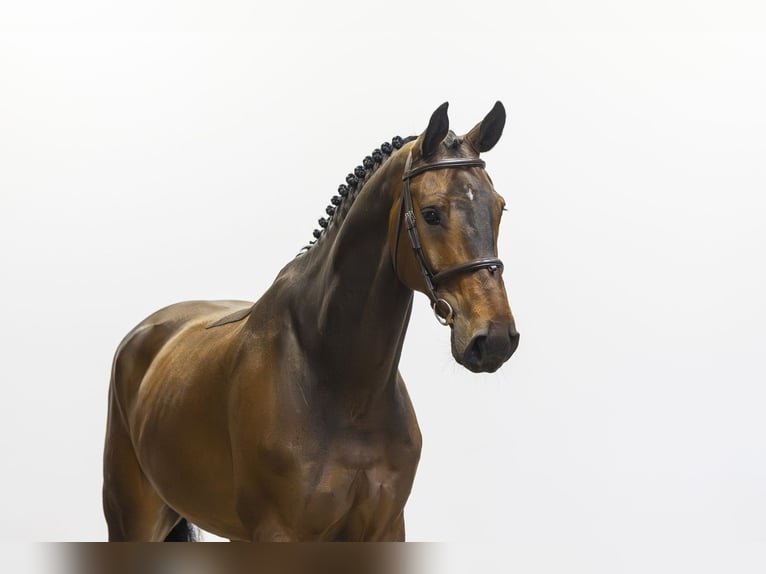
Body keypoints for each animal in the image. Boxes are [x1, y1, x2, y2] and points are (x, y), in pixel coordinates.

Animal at [102, 101, 520, 541]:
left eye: (499, 207)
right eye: (431, 214)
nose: (494, 338)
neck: (342, 387)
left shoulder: (386, 530)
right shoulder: (278, 533)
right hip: (133, 520)